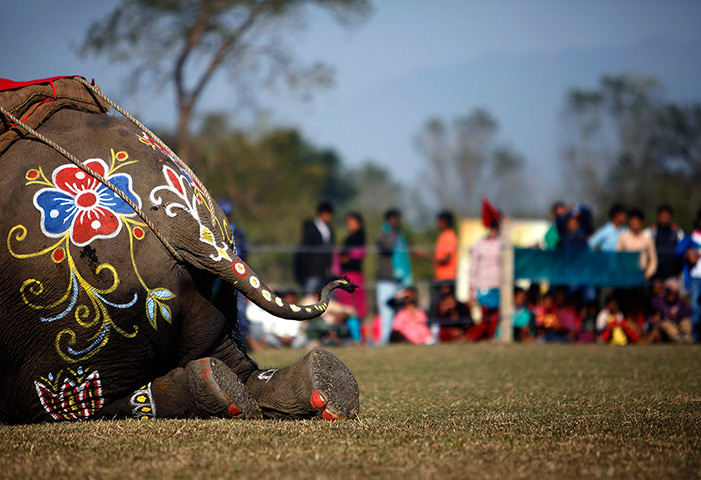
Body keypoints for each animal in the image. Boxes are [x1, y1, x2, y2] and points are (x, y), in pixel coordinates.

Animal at [0, 76, 359, 424]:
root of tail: (194, 230)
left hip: (67, 327)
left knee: (60, 405)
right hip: (210, 301)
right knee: (237, 366)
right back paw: (318, 382)